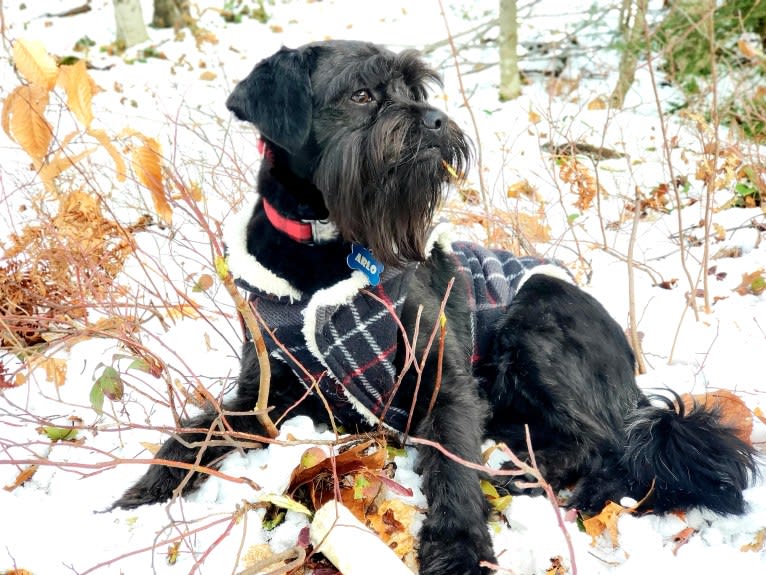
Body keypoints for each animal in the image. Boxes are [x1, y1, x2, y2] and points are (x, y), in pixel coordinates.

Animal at [117, 41, 760, 575]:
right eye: (361, 93)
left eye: (417, 91)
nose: (435, 120)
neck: (326, 252)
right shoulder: (268, 396)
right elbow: (194, 431)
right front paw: (140, 494)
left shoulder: (442, 383)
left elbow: (453, 468)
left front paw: (459, 550)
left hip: (536, 323)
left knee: (605, 443)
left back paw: (543, 480)